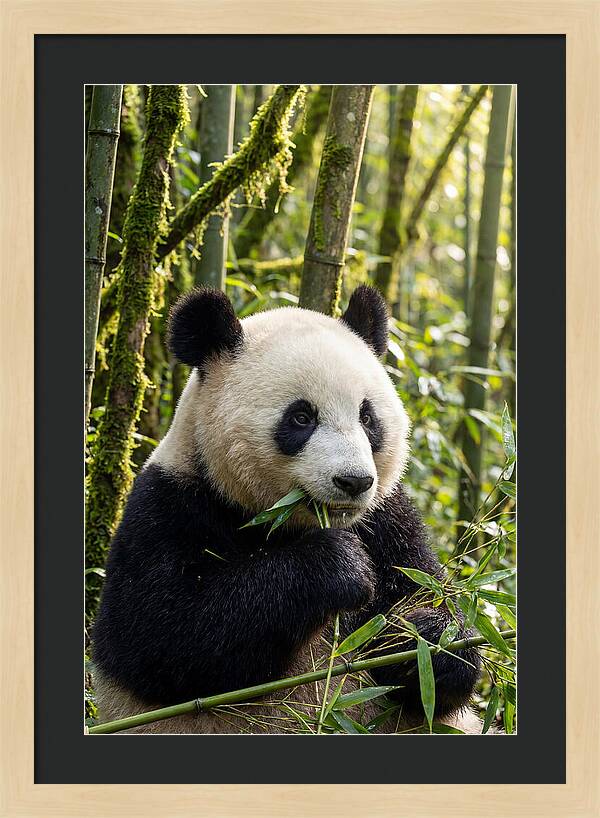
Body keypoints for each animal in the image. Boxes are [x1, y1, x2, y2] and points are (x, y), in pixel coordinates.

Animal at [92, 285, 482, 734]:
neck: (284, 520)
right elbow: (164, 636)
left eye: (367, 418)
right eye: (301, 417)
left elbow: (431, 608)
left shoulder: (388, 520)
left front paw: (425, 639)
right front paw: (339, 566)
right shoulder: (168, 506)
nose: (353, 482)